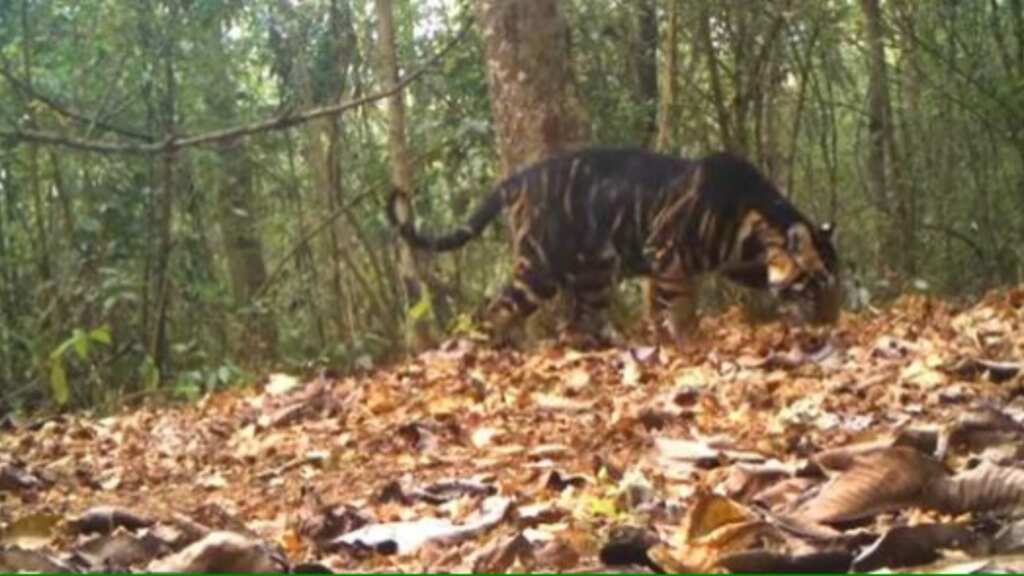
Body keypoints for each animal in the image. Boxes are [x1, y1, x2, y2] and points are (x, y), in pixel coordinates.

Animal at [388, 147, 840, 347]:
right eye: (816, 284)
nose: (832, 323)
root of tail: (517, 178)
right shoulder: (666, 251)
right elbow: (680, 306)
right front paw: (690, 344)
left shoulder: (709, 263)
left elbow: (660, 305)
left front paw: (663, 341)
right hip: (540, 267)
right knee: (498, 307)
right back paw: (501, 351)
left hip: (593, 273)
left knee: (578, 319)